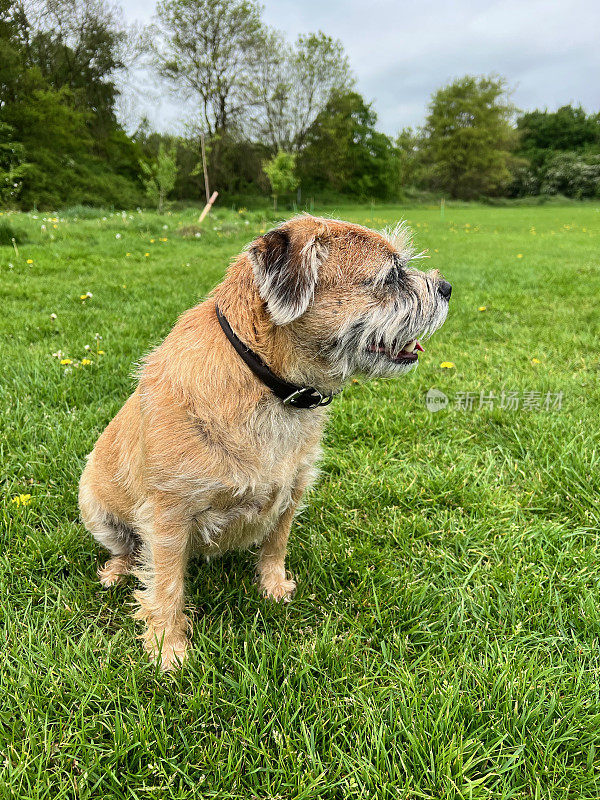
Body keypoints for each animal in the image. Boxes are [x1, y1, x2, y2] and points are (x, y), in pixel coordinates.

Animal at [81, 214, 450, 668]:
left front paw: (272, 587)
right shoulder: (169, 515)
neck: (267, 383)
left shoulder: (293, 489)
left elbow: (277, 543)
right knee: (127, 550)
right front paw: (168, 648)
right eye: (391, 275)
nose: (447, 287)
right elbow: (166, 585)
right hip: (96, 507)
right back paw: (117, 572)